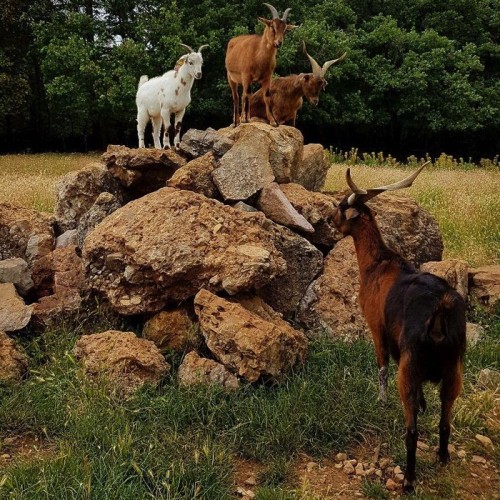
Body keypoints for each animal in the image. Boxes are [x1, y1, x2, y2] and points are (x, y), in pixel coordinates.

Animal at [331, 164, 466, 493]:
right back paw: (443, 457)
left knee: (412, 431)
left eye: (341, 207)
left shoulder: (376, 328)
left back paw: (408, 480)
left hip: (409, 367)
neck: (378, 263)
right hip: (452, 369)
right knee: (445, 421)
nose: (329, 220)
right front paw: (424, 402)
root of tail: (440, 310)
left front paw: (380, 402)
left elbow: (381, 365)